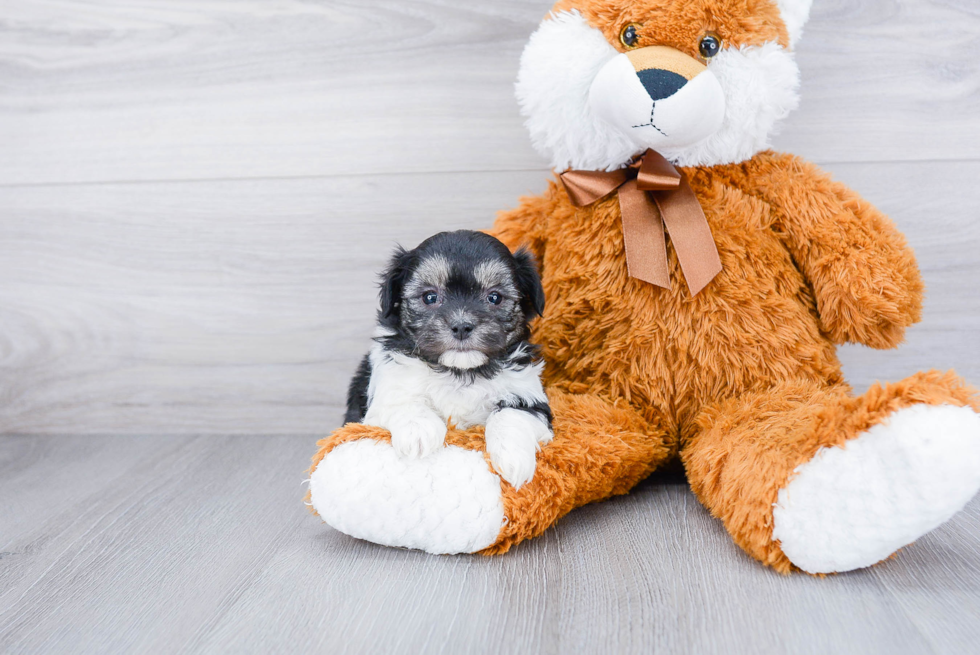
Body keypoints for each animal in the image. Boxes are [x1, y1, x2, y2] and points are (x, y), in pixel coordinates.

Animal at [344, 228, 552, 490]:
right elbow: (402, 401)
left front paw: (513, 458)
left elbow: (512, 414)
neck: (459, 371)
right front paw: (418, 432)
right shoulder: (385, 391)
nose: (462, 326)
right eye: (430, 297)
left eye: (494, 297)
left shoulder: (529, 395)